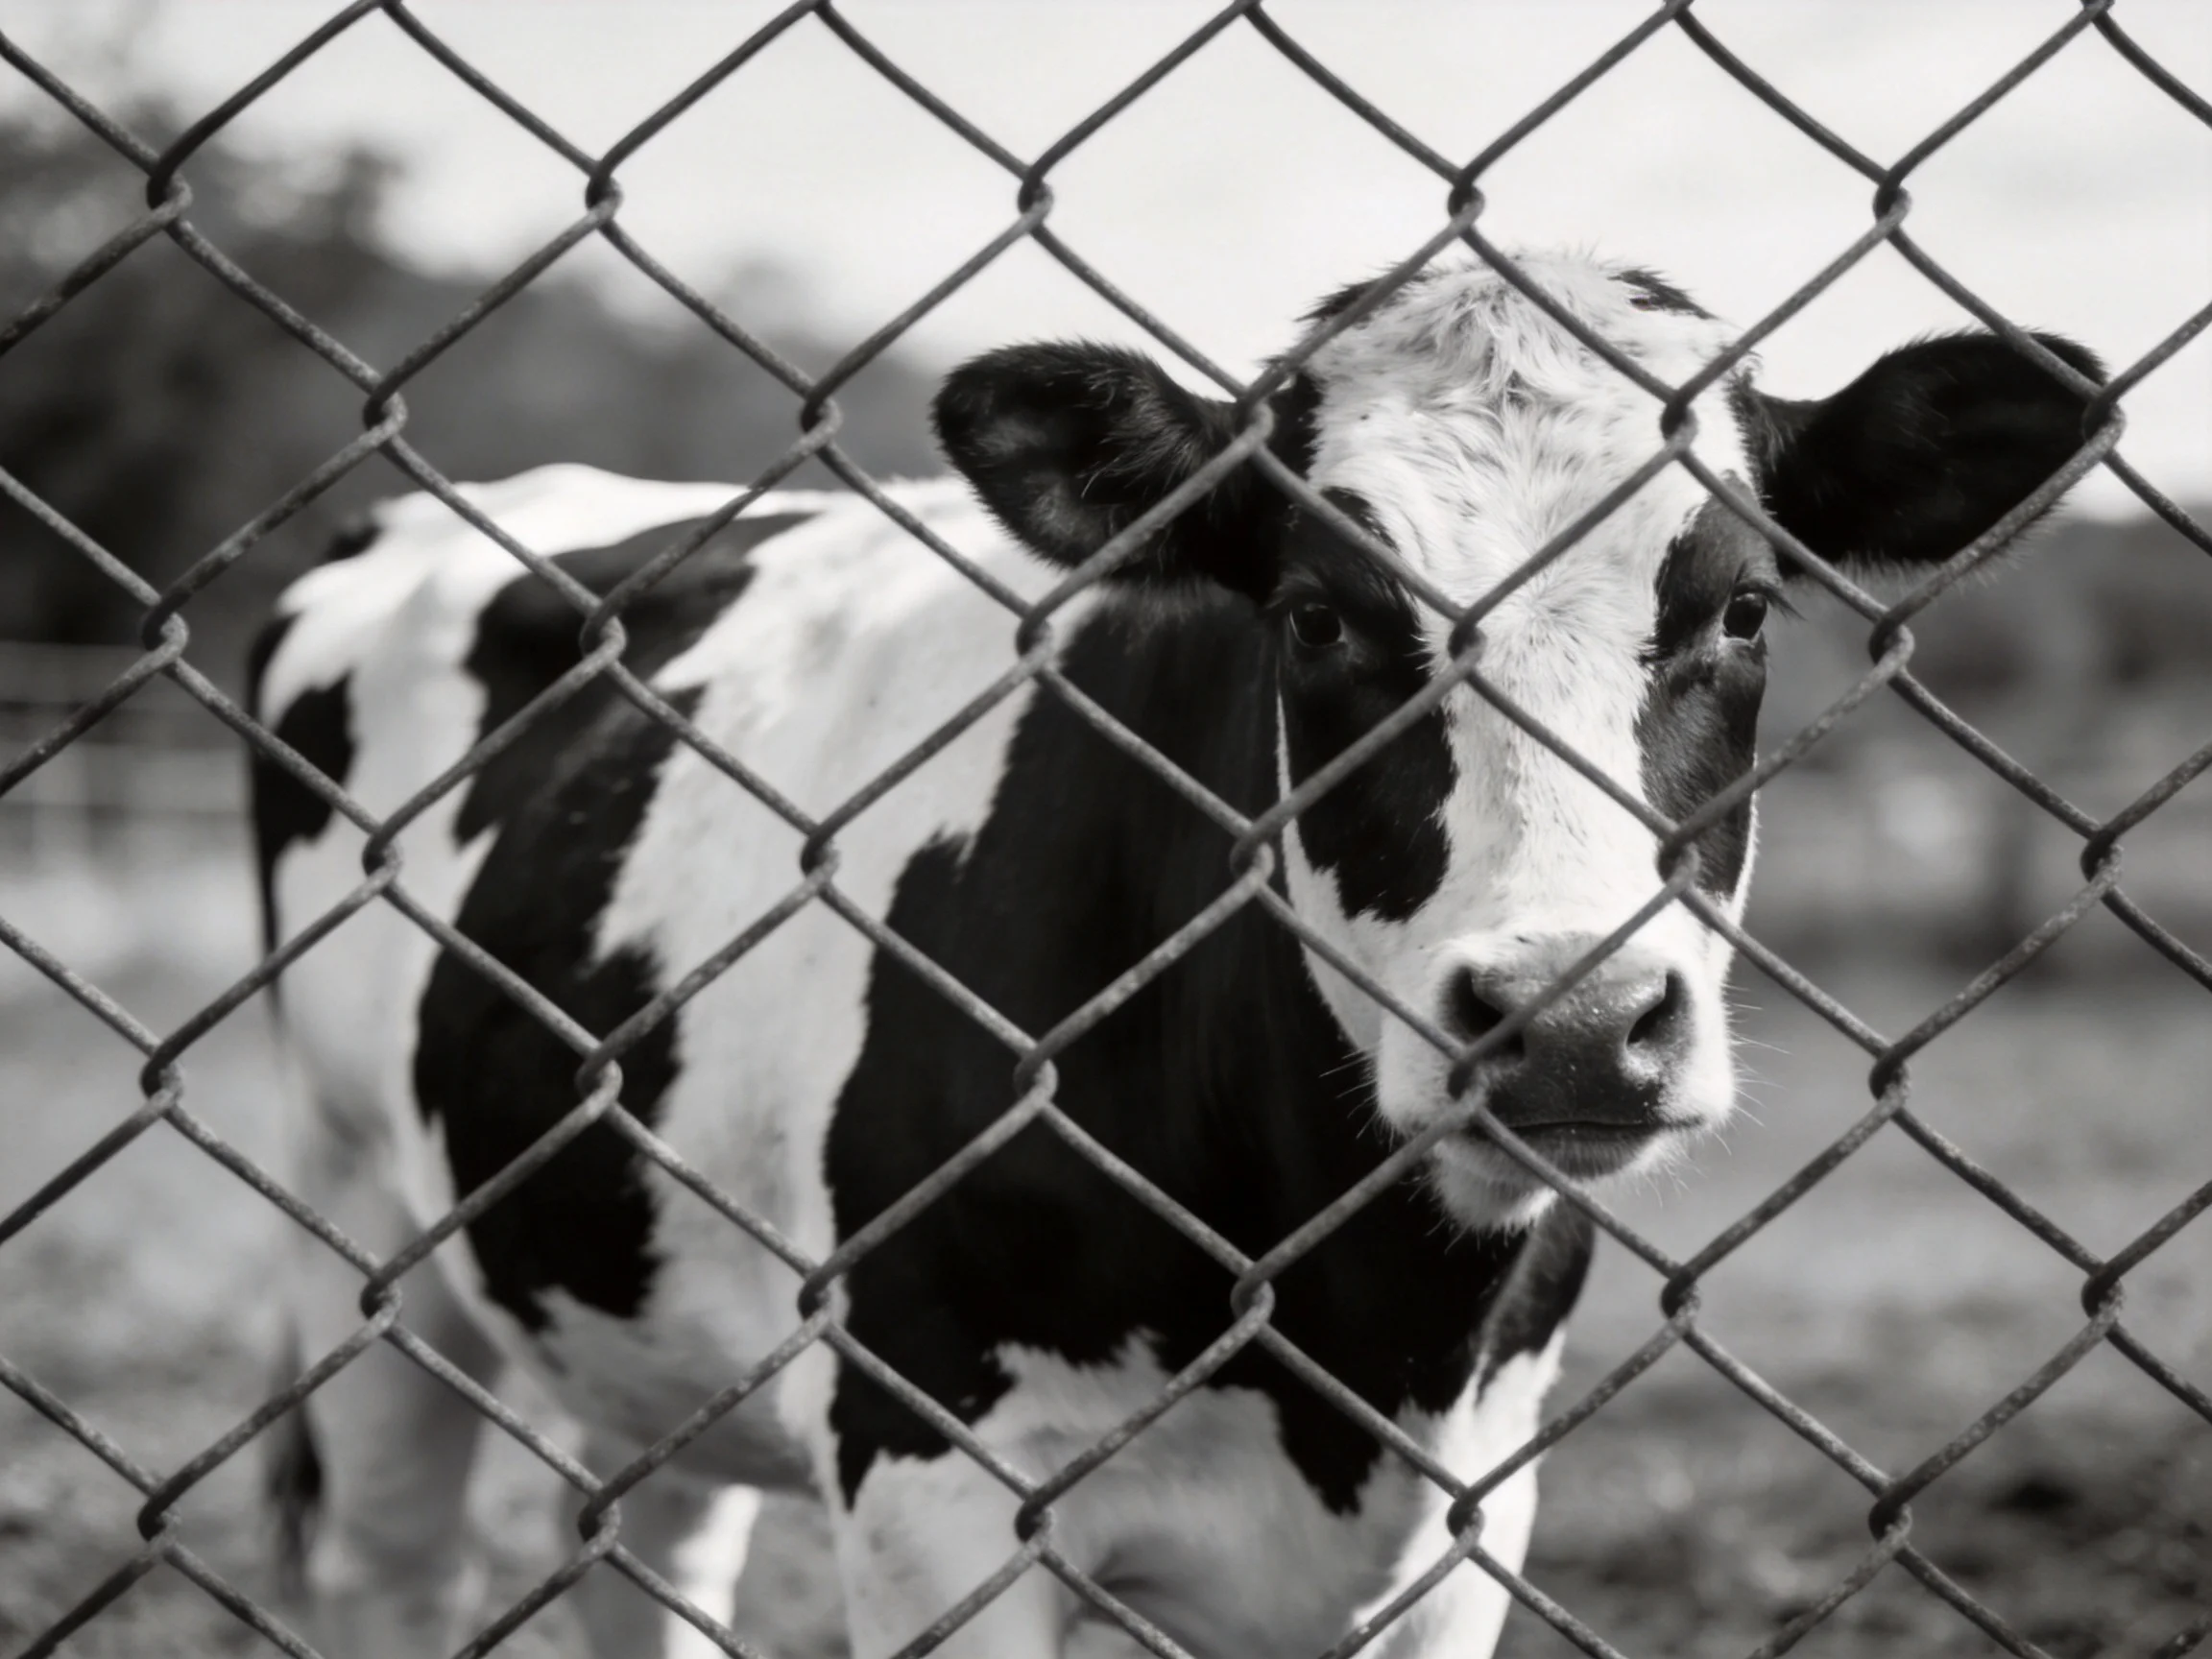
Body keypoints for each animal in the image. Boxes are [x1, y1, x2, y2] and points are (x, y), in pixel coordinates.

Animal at [248, 248, 2097, 1659]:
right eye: (1317, 615)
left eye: (1741, 611)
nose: (1571, 1022)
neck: (1361, 1331)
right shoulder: (930, 1473)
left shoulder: (1466, 1521)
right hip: (360, 1243)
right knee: (385, 1565)